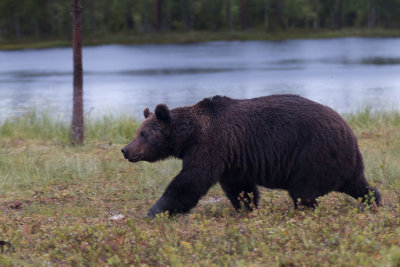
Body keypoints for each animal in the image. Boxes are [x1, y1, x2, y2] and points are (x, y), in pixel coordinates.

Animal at [121, 95, 382, 219]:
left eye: (143, 134)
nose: (125, 150)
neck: (189, 135)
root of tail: (348, 131)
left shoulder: (212, 145)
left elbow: (190, 181)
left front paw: (153, 212)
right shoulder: (232, 157)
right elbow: (240, 187)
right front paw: (247, 207)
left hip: (312, 155)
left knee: (303, 192)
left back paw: (304, 211)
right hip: (343, 163)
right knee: (359, 185)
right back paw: (374, 201)